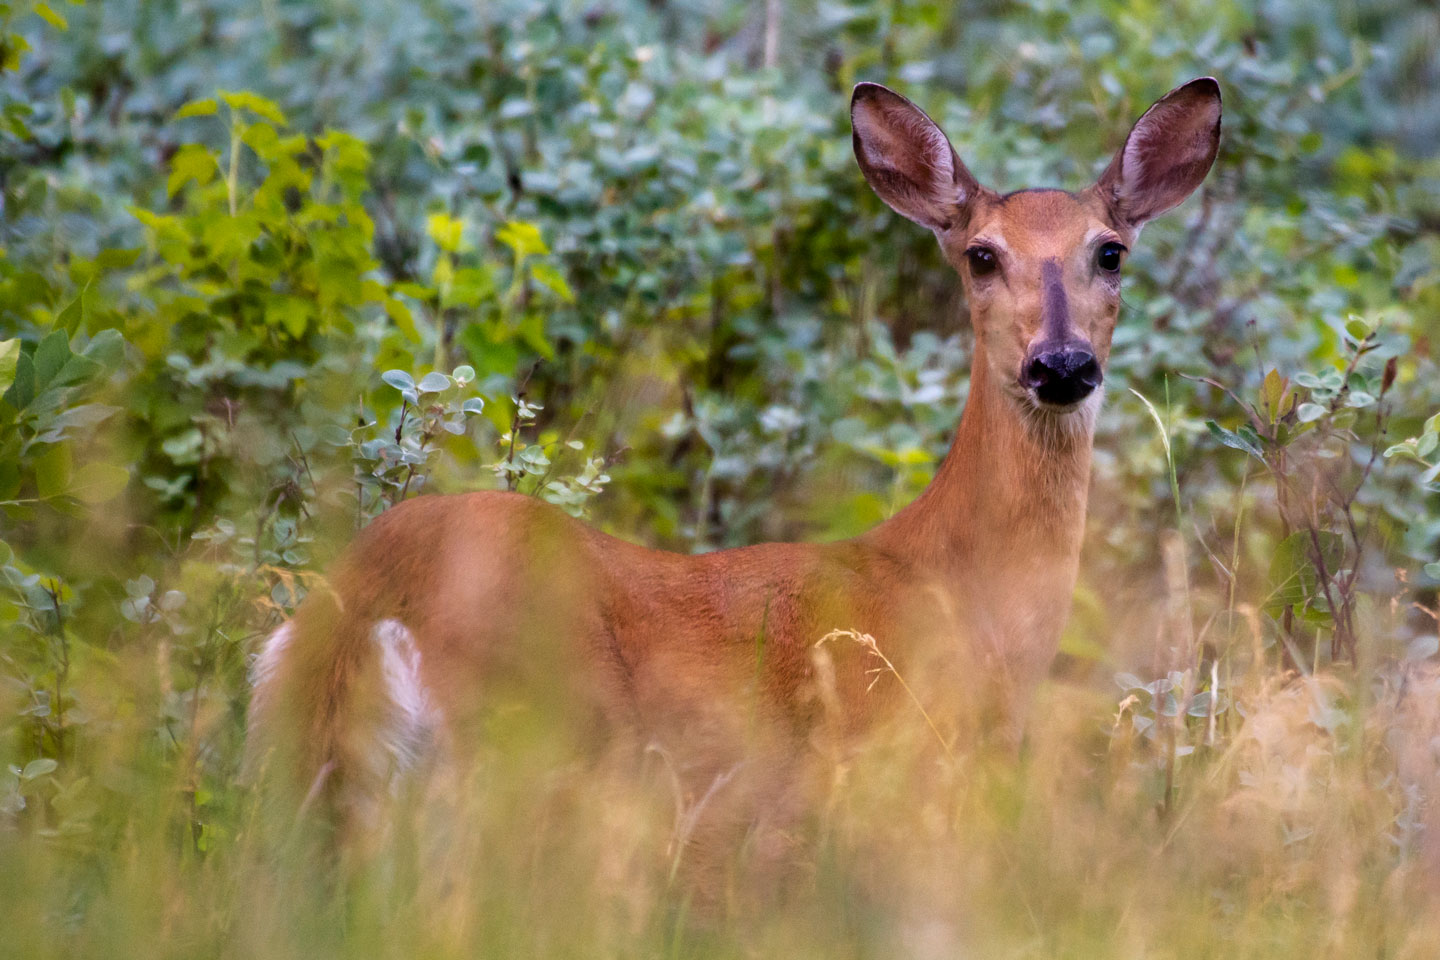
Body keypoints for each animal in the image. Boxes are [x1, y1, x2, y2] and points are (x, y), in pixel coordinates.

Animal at [247, 75, 1215, 886]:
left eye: (1111, 252)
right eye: (980, 254)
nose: (1061, 364)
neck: (959, 594)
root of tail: (370, 602)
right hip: (529, 754)